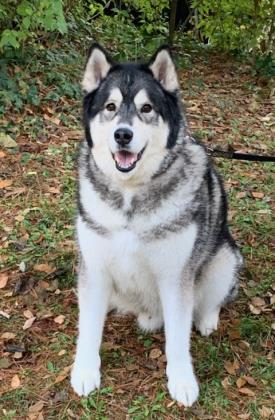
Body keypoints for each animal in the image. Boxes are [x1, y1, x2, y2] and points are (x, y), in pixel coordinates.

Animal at [71, 43, 244, 406]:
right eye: (110, 107)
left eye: (146, 108)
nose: (123, 134)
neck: (130, 197)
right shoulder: (94, 269)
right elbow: (88, 328)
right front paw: (85, 372)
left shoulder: (175, 277)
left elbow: (178, 339)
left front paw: (182, 380)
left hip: (224, 258)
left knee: (213, 299)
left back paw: (207, 318)